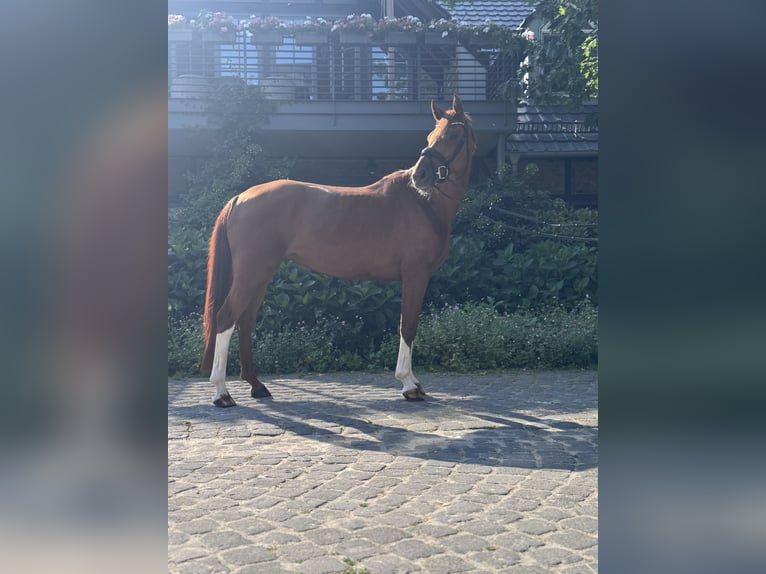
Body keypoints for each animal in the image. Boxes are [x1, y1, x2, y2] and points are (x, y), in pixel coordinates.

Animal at [200, 94, 478, 407]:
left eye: (451, 135)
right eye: (431, 136)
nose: (421, 175)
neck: (422, 204)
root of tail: (240, 197)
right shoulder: (415, 275)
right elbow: (408, 326)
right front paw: (409, 384)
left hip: (260, 275)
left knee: (245, 321)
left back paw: (256, 385)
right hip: (252, 273)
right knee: (226, 318)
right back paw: (222, 392)